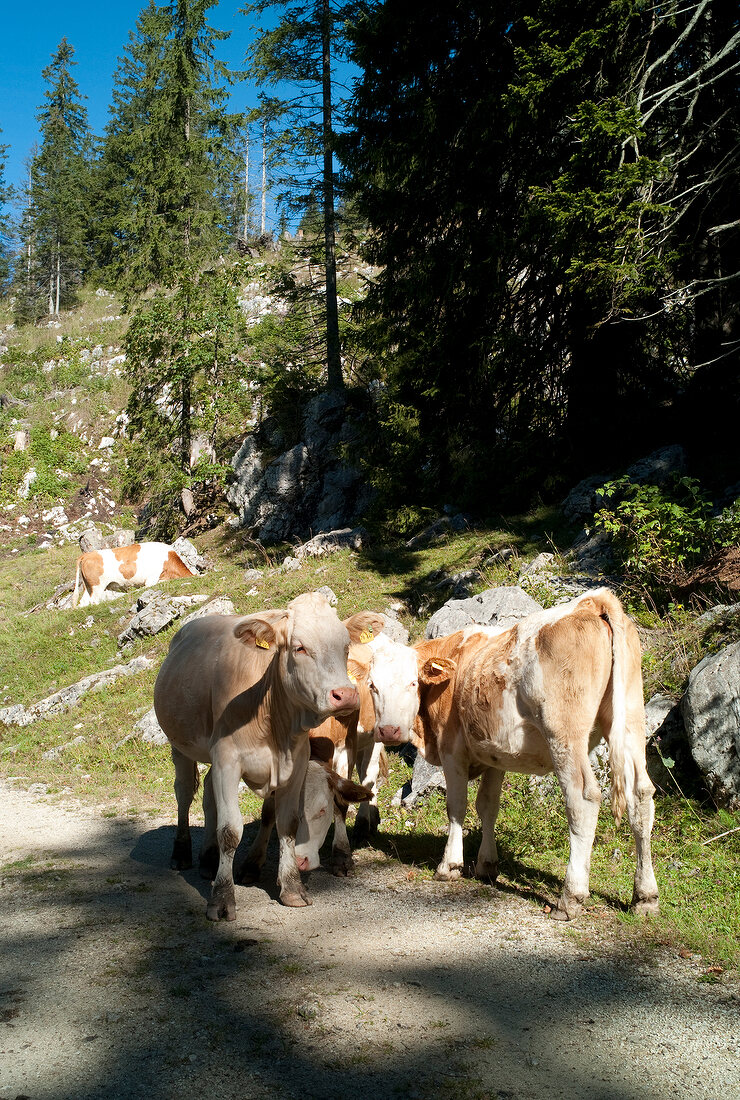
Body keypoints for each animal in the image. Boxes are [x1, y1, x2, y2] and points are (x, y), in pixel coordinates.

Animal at [149, 594, 380, 919]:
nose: (344, 694)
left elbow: (287, 822)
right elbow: (230, 830)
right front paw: (222, 898)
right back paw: (182, 852)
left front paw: (292, 888)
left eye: (345, 646)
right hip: (180, 744)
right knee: (184, 792)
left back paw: (208, 859)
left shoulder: (297, 763)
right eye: (299, 647)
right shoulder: (228, 760)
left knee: (207, 795)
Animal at [367, 589, 659, 924]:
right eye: (373, 686)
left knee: (583, 799)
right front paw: (486, 865)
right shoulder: (495, 753)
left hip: (565, 735)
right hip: (630, 721)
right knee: (641, 796)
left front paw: (449, 866)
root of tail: (592, 602)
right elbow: (488, 806)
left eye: (412, 683)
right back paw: (645, 897)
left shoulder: (452, 749)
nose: (388, 730)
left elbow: (457, 806)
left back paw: (570, 897)